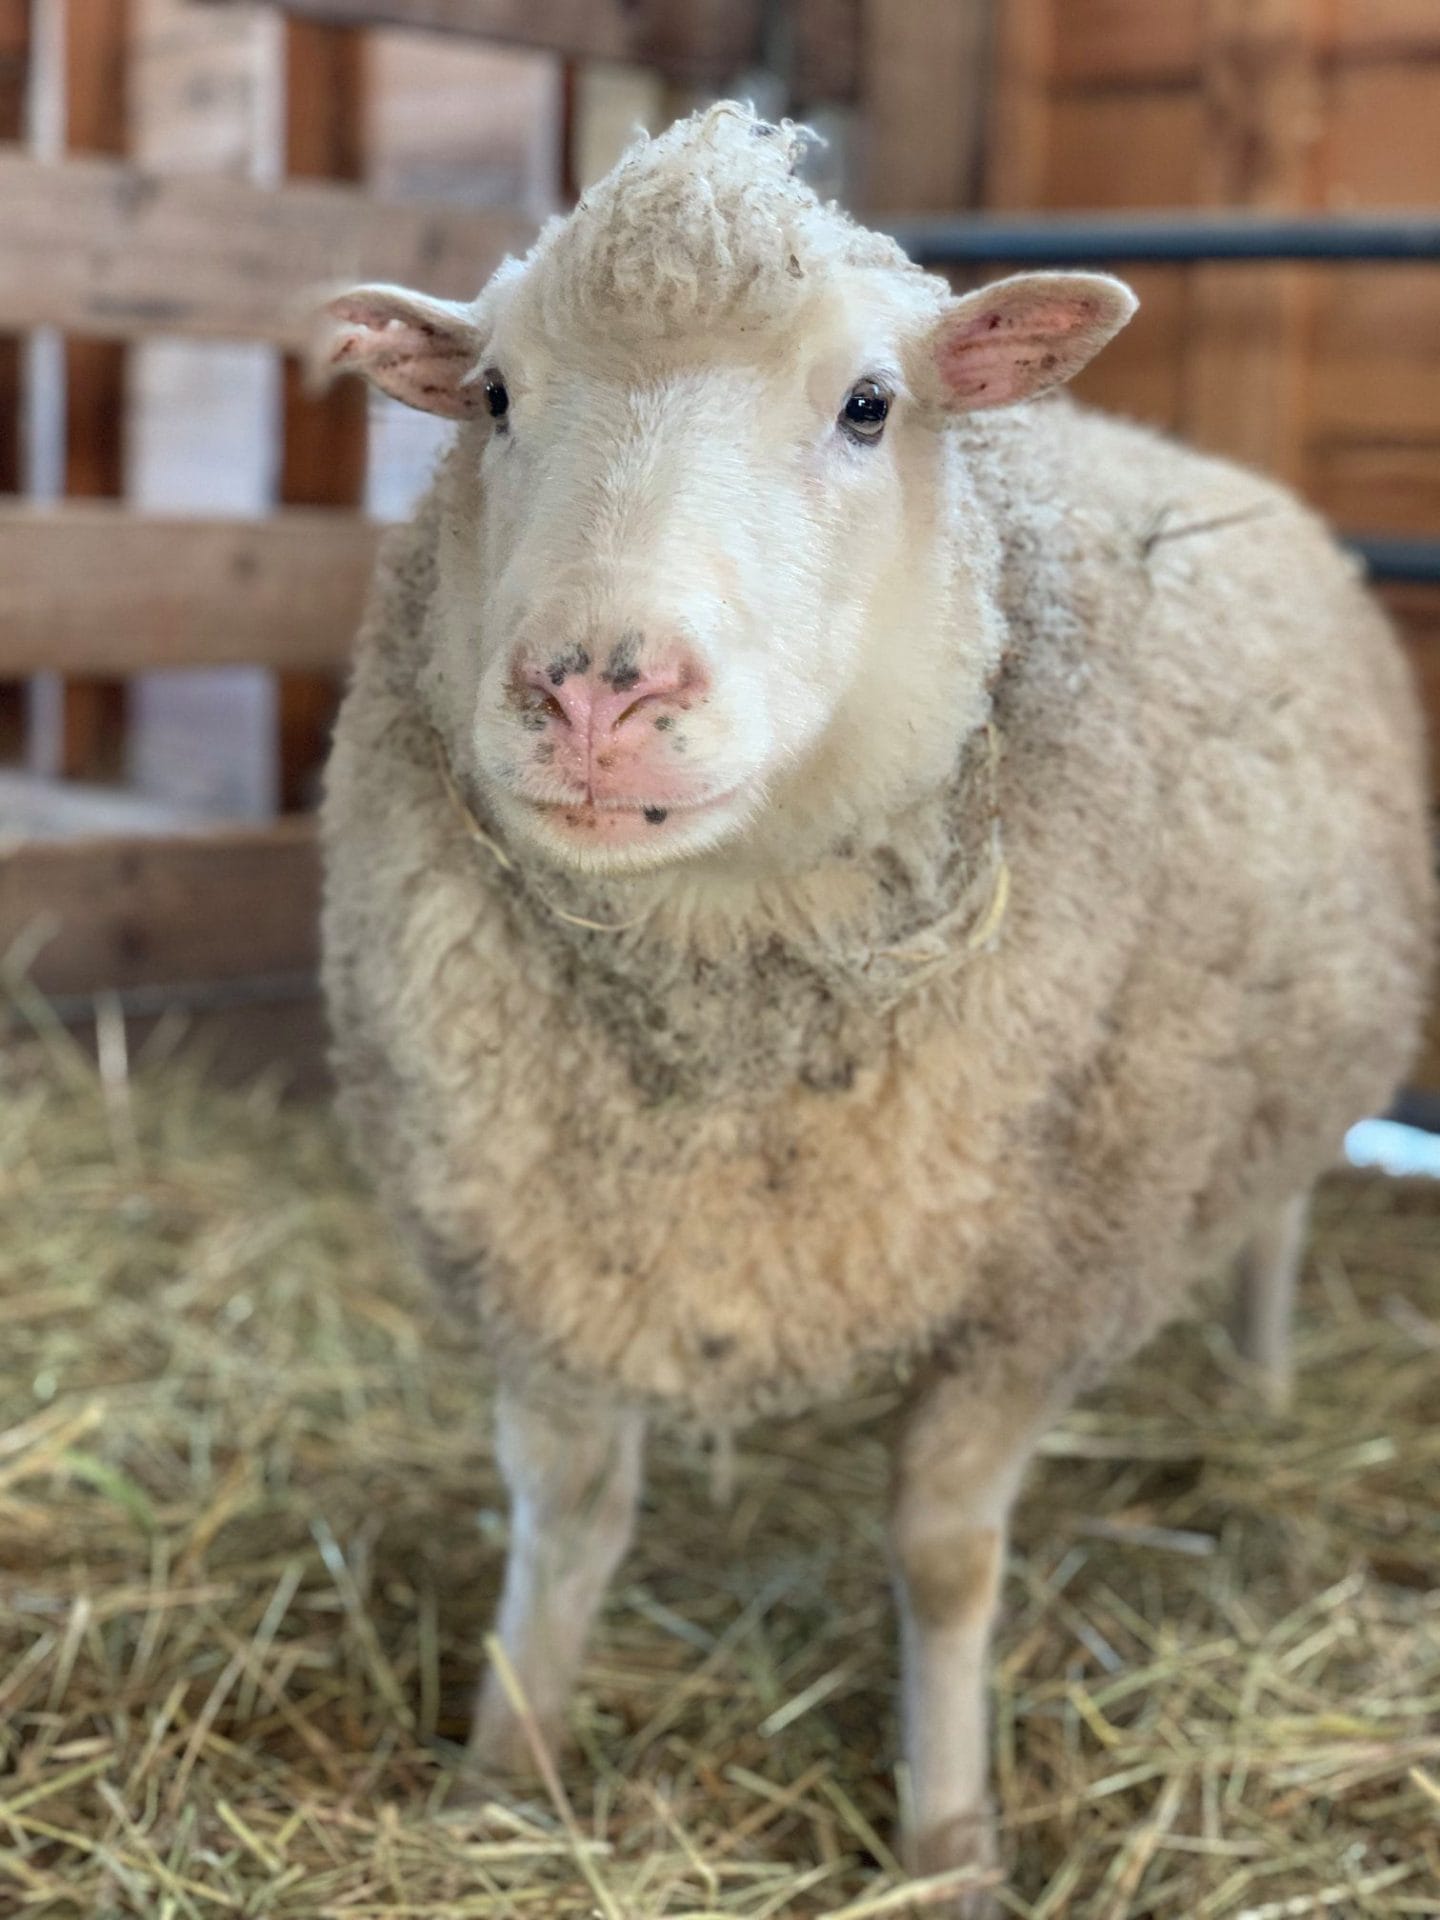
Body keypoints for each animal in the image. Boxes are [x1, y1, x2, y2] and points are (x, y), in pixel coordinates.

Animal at [317, 104, 1435, 1910]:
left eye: (868, 404)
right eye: (491, 395)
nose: (594, 691)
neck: (724, 1002)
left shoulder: (1037, 1282)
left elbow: (943, 1557)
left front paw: (950, 1836)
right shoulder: (542, 1244)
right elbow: (565, 1515)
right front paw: (501, 1774)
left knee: (1275, 1219)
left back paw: (1263, 1384)